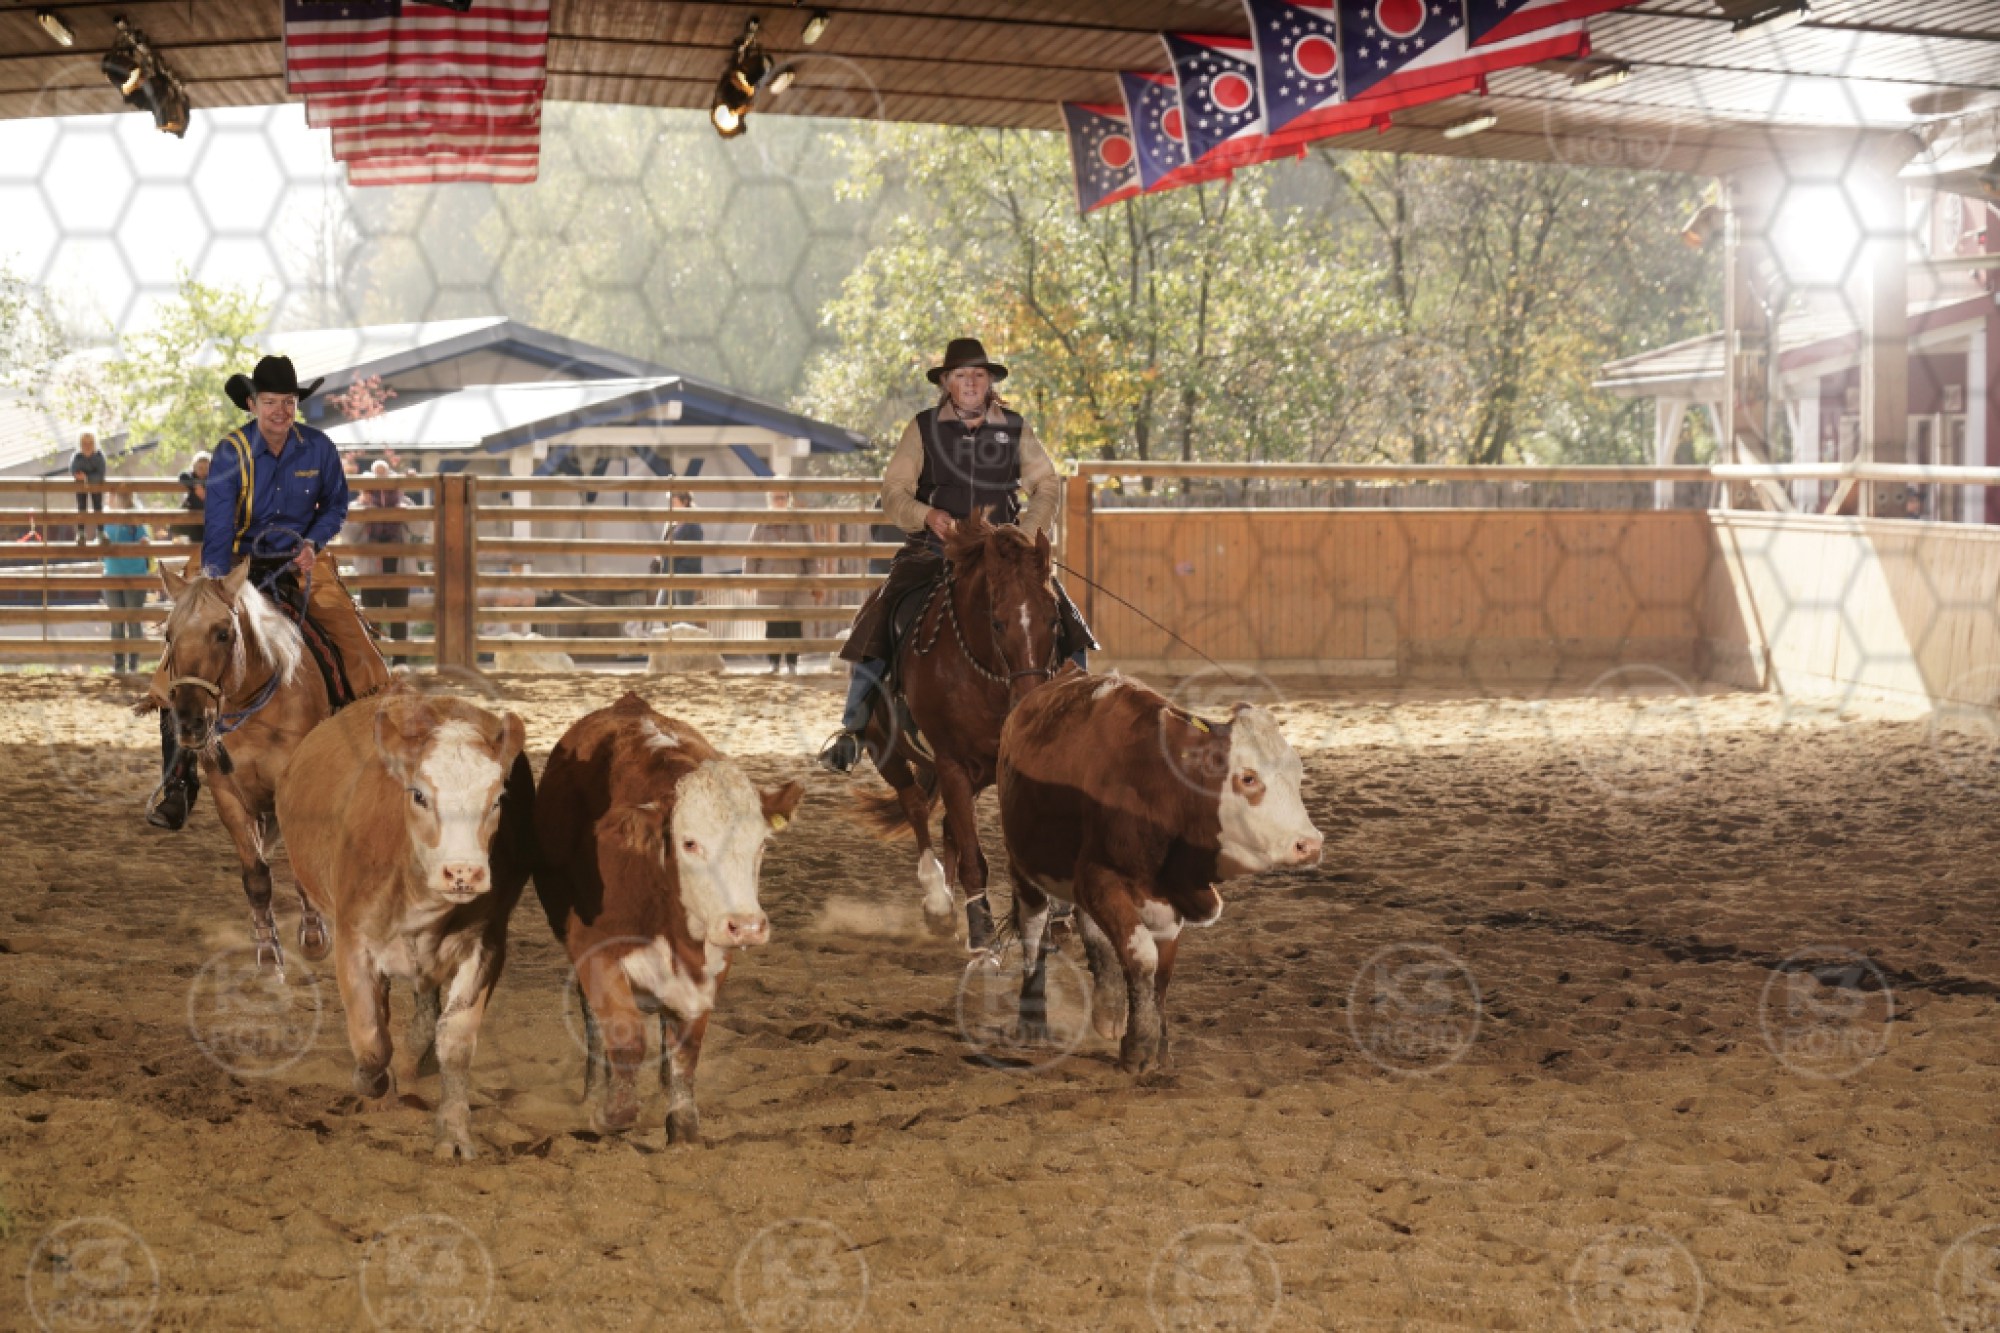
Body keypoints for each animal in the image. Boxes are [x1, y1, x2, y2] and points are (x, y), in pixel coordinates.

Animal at [154, 561, 333, 975]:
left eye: (223, 633)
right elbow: (256, 875)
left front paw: (314, 937)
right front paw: (267, 950)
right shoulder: (229, 796)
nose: (188, 722)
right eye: (169, 635)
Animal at [275, 682, 534, 1159]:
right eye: (419, 795)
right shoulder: (352, 940)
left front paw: (454, 1130)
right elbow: (372, 1037)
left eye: (497, 800)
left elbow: (455, 1041)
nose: (463, 872)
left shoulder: (487, 944)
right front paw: (372, 1083)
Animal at [534, 694, 803, 1144]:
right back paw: (594, 1088)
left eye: (762, 844)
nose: (747, 926)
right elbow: (624, 1033)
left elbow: (685, 1050)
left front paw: (683, 1126)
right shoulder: (592, 945)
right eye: (690, 842)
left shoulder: (711, 960)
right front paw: (610, 1112)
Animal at [857, 509, 1063, 953]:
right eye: (997, 622)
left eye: (1055, 618)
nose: (1030, 704)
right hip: (887, 750)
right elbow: (972, 857)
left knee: (949, 824)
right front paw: (982, 935)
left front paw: (1041, 920)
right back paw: (938, 902)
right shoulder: (950, 763)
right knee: (916, 806)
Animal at [996, 669, 1323, 1073]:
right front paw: (1139, 1046)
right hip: (1022, 865)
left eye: (1297, 774)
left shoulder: (1169, 898)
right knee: (1032, 929)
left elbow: (1161, 974)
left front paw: (1158, 1044)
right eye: (1247, 778)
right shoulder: (1098, 878)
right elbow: (1142, 956)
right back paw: (1032, 1021)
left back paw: (1108, 1009)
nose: (1309, 844)